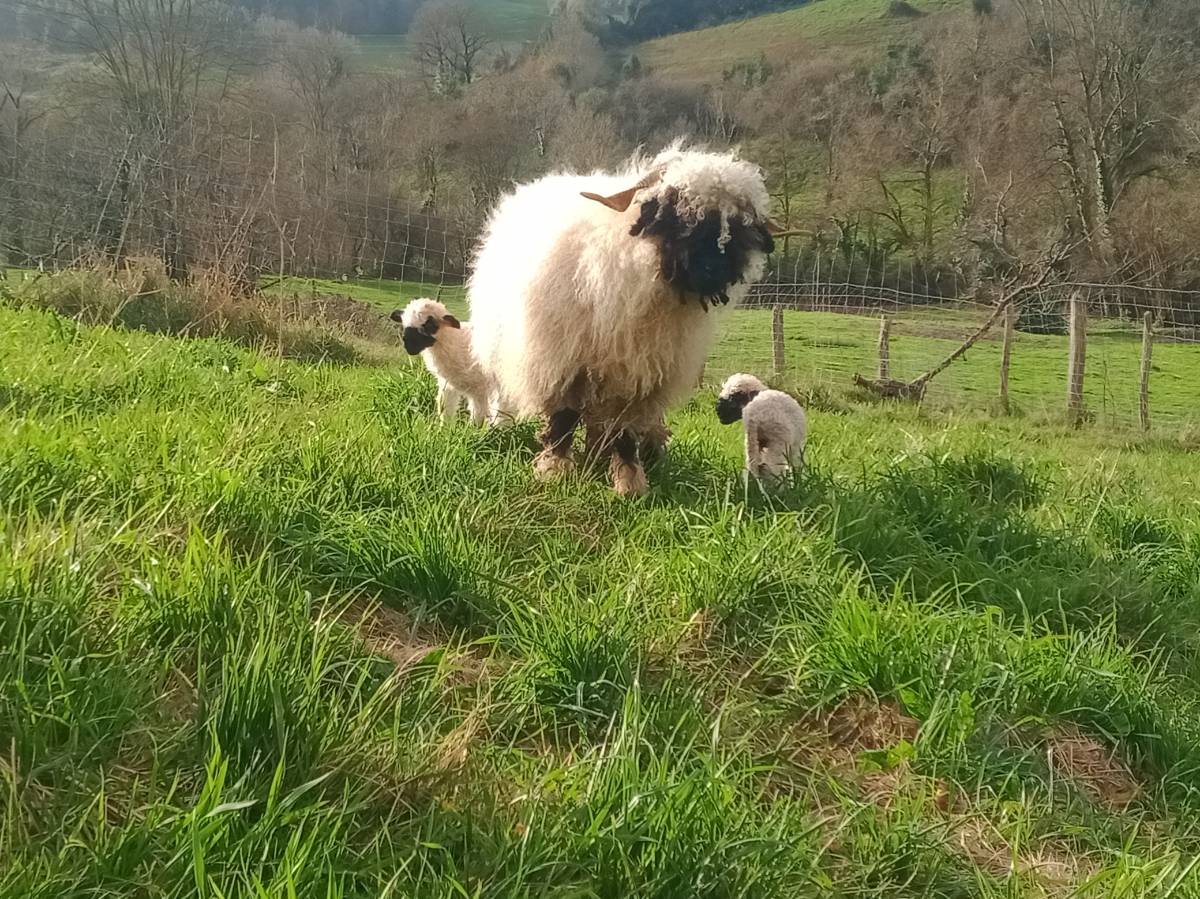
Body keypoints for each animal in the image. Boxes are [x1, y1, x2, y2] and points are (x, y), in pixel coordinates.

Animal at [467, 140, 779, 496]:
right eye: (672, 213)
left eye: (740, 226)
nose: (712, 269)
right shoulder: (563, 362)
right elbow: (562, 420)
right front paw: (555, 472)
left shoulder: (640, 376)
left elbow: (626, 432)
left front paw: (630, 483)